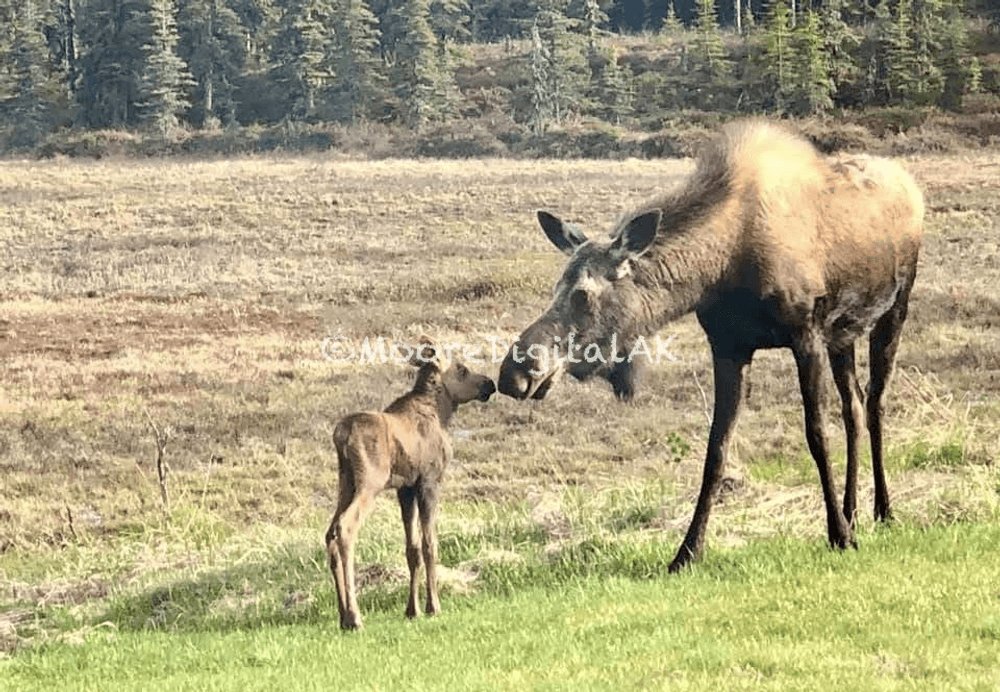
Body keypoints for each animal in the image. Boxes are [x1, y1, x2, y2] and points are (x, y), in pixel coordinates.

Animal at [325, 342, 496, 630]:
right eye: (462, 369)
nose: (489, 384)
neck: (442, 413)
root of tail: (342, 436)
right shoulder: (430, 480)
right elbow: (430, 544)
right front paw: (433, 606)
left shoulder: (404, 488)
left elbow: (412, 549)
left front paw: (412, 610)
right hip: (369, 483)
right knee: (345, 528)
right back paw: (355, 616)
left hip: (345, 482)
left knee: (329, 534)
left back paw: (342, 615)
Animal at [498, 119, 924, 572]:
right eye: (555, 288)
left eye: (582, 294)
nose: (515, 371)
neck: (720, 267)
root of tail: (911, 185)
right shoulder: (729, 346)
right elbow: (715, 451)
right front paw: (687, 551)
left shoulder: (805, 334)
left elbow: (815, 434)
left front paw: (838, 535)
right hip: (843, 333)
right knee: (854, 408)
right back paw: (853, 511)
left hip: (895, 308)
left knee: (875, 402)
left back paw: (883, 510)